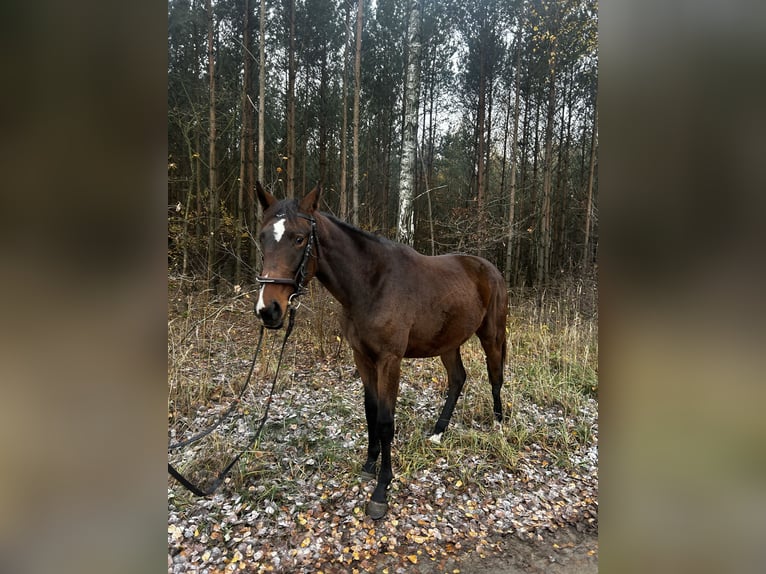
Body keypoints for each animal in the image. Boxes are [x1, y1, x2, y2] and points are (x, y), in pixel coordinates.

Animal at [254, 181, 508, 519]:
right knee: (457, 379)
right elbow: (370, 411)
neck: (371, 284)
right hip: (448, 343)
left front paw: (381, 489)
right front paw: (369, 464)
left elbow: (386, 421)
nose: (268, 310)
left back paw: (498, 425)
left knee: (495, 375)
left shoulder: (389, 360)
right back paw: (438, 432)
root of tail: (489, 268)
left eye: (299, 238)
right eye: (263, 237)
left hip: (491, 334)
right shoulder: (362, 357)